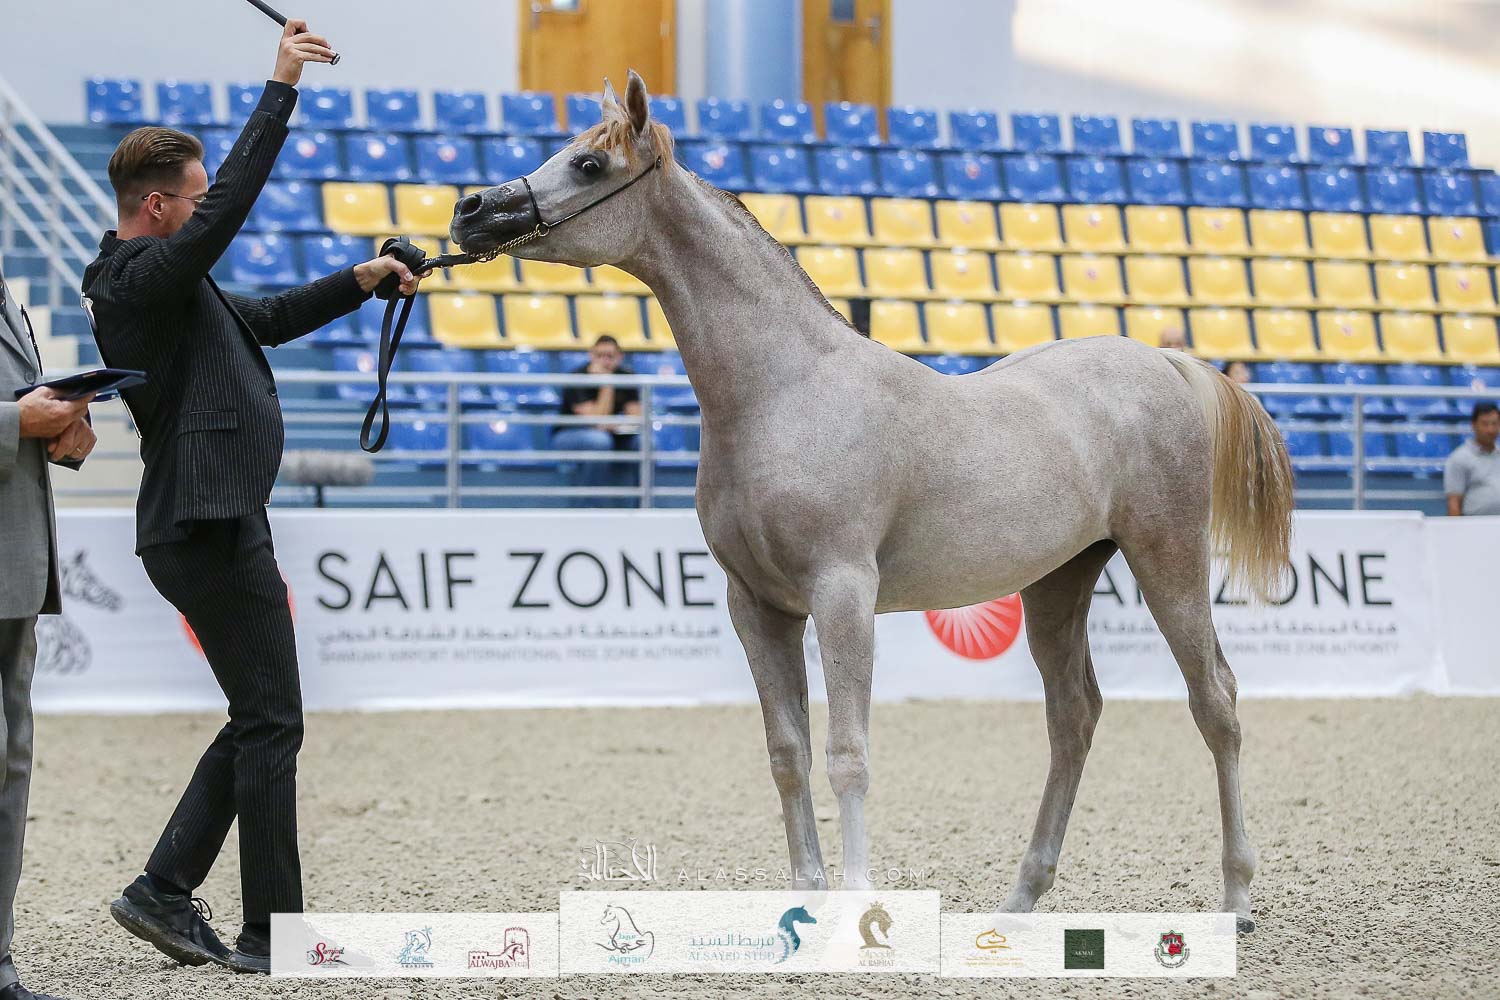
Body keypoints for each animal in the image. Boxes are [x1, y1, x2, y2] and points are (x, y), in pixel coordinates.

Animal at [448, 71, 1294, 933]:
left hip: (1168, 558)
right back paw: (1020, 899)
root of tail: (1166, 363)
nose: (470, 210)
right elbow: (788, 754)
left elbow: (848, 755)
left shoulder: (842, 593)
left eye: (589, 164)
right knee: (1074, 717)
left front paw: (857, 902)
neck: (786, 391)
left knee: (1215, 701)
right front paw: (805, 898)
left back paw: (1237, 897)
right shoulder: (756, 605)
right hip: (1060, 581)